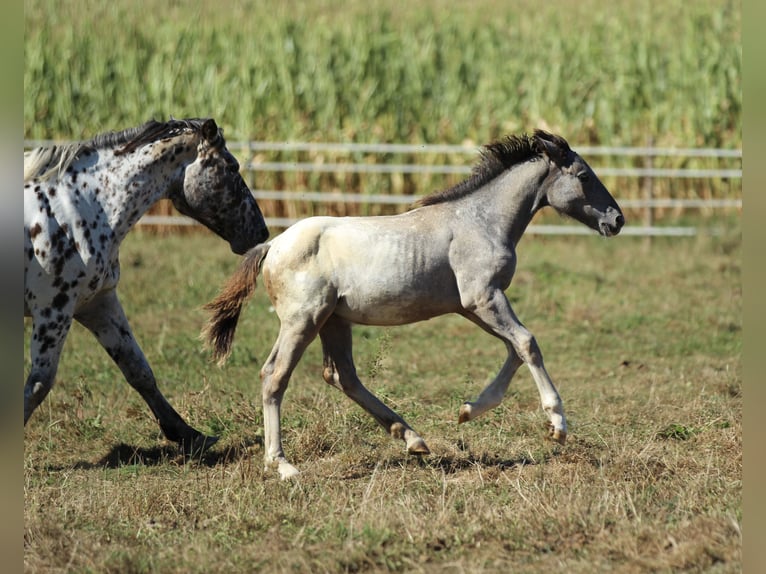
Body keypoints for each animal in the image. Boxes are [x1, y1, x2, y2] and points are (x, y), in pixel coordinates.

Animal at [24, 117, 269, 454]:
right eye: (232, 166)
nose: (262, 231)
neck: (76, 211)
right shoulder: (53, 310)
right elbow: (39, 384)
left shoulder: (96, 303)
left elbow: (138, 370)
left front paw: (189, 434)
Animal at [203, 130, 624, 478]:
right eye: (584, 176)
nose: (617, 220)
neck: (480, 222)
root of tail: (273, 244)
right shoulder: (484, 298)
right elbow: (527, 343)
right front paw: (558, 425)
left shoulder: (473, 306)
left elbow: (514, 350)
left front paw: (468, 410)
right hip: (302, 321)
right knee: (275, 375)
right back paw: (282, 464)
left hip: (333, 320)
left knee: (342, 376)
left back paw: (412, 438)